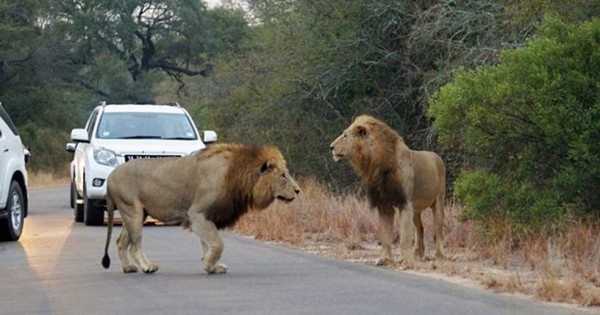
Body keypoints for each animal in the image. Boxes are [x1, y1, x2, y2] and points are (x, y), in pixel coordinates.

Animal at [102, 144, 304, 276]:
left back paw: (128, 268)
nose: (298, 190)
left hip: (136, 213)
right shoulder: (197, 214)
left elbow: (208, 244)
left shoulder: (207, 217)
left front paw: (212, 266)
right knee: (135, 244)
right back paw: (147, 267)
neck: (239, 177)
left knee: (121, 242)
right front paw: (208, 264)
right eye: (283, 176)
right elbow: (218, 244)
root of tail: (110, 175)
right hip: (133, 211)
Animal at [328, 115, 446, 268]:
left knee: (438, 230)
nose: (331, 147)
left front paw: (407, 261)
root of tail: (437, 156)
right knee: (420, 228)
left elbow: (404, 237)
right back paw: (417, 253)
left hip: (438, 201)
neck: (376, 163)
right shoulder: (384, 205)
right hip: (416, 209)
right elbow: (385, 236)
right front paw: (386, 259)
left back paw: (439, 255)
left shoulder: (405, 203)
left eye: (345, 135)